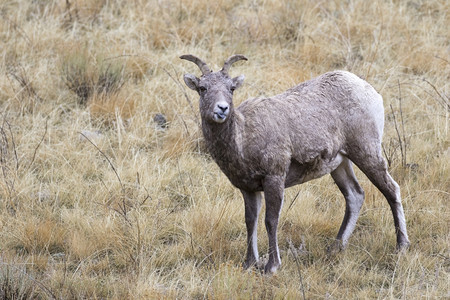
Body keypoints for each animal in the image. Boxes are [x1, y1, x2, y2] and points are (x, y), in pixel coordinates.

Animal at [180, 52, 412, 274]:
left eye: (231, 88)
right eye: (202, 88)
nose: (222, 109)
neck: (243, 138)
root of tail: (369, 90)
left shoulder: (274, 179)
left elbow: (270, 221)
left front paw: (271, 267)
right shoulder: (248, 189)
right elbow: (250, 221)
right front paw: (249, 264)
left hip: (366, 153)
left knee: (391, 190)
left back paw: (401, 246)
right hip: (340, 164)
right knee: (355, 195)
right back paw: (336, 248)